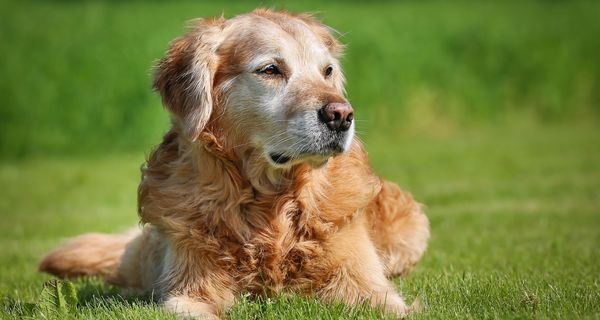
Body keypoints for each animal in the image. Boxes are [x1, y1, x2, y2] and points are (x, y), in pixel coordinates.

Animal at [38, 8, 432, 318]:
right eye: (271, 70)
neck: (269, 203)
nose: (341, 116)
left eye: (327, 71)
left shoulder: (366, 283)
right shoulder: (188, 288)